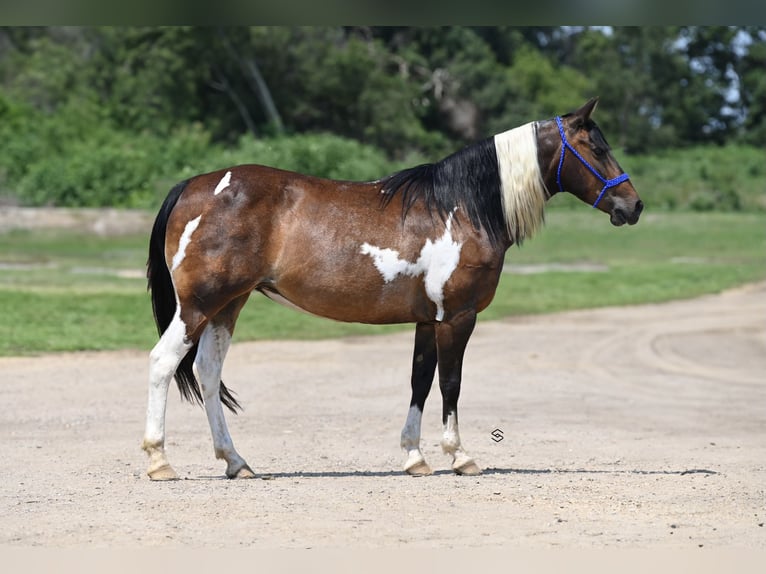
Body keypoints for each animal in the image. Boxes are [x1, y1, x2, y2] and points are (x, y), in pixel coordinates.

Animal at [142, 98, 640, 482]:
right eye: (596, 148)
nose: (633, 205)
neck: (459, 207)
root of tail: (194, 185)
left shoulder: (427, 319)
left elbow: (420, 381)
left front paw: (415, 458)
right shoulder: (458, 317)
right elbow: (451, 383)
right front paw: (460, 456)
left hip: (228, 305)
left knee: (207, 372)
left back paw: (236, 462)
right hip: (199, 305)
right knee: (163, 362)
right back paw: (159, 461)